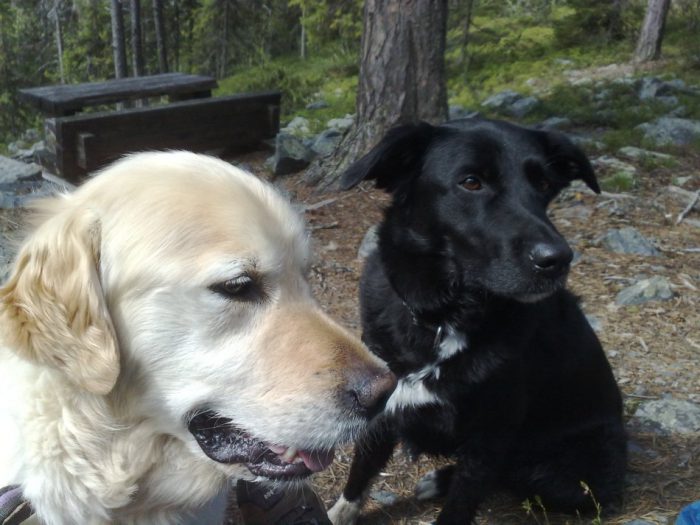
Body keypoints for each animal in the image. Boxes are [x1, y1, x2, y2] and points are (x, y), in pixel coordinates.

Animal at [328, 118, 627, 524]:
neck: (444, 319)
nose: (558, 259)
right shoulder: (383, 402)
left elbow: (463, 500)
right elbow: (362, 468)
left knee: (514, 473)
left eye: (544, 185)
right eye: (471, 182)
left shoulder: (491, 433)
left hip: (570, 477)